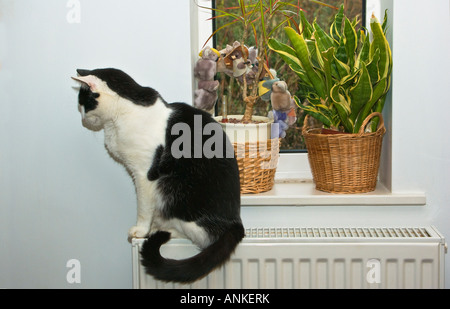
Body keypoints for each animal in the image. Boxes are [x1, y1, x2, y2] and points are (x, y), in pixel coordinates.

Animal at [72, 67, 244, 282]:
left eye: (83, 103)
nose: (82, 118)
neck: (120, 115)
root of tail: (235, 222)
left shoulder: (144, 174)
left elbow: (144, 207)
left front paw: (141, 230)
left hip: (172, 190)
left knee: (200, 238)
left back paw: (165, 229)